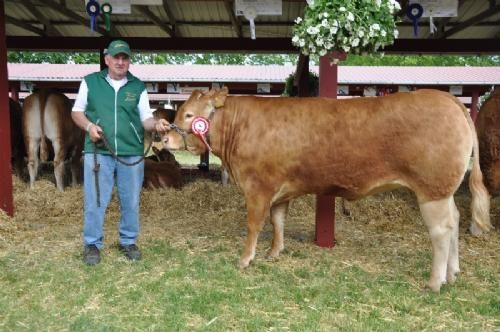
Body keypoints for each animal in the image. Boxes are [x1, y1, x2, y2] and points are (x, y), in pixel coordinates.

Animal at [162, 87, 490, 292]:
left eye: (189, 115)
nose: (165, 138)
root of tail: (446, 98)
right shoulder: (280, 189)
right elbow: (278, 221)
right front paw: (275, 252)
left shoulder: (258, 188)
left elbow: (255, 224)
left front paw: (245, 259)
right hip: (443, 192)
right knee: (455, 220)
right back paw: (453, 273)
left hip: (432, 190)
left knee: (442, 230)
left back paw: (435, 282)